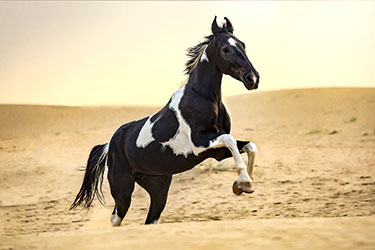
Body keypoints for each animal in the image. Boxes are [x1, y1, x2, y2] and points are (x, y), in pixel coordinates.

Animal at [72, 16, 262, 226]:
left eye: (243, 45)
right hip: (122, 188)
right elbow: (230, 140)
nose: (253, 79)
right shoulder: (200, 144)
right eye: (226, 49)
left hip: (158, 187)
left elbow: (249, 146)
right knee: (116, 217)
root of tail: (108, 146)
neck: (202, 98)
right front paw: (244, 182)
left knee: (150, 219)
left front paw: (242, 184)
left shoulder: (216, 151)